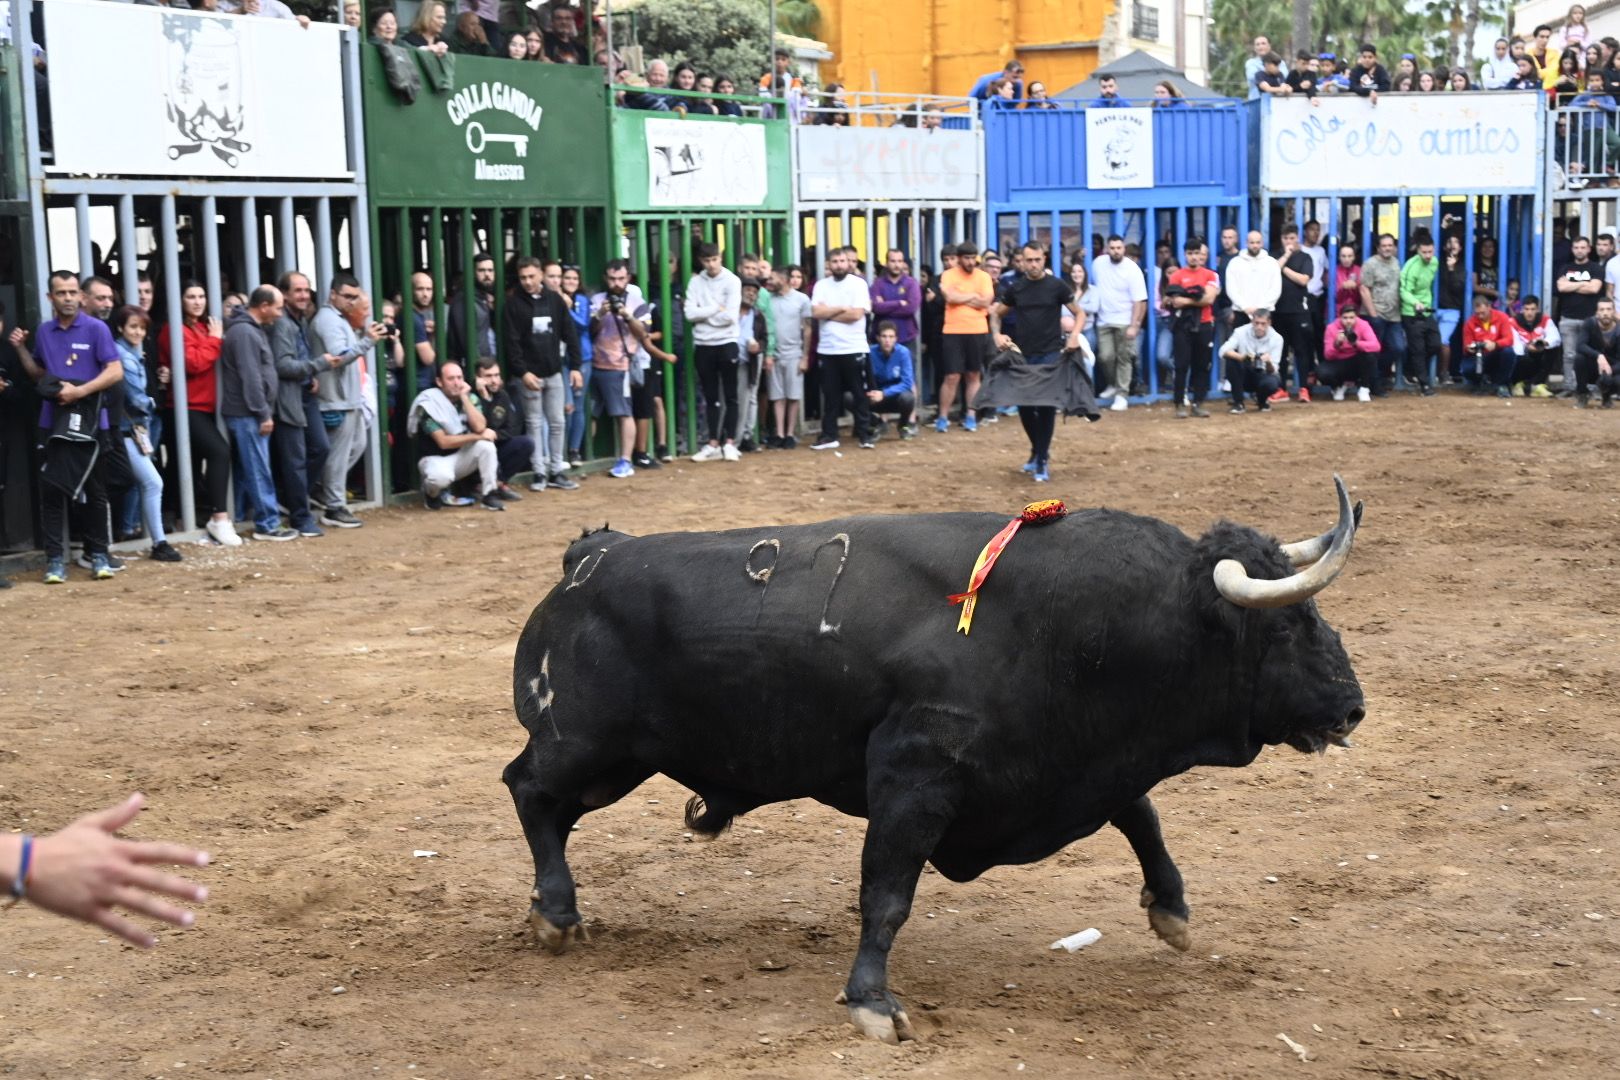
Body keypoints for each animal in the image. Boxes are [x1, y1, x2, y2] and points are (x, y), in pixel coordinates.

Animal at [505, 476, 1367, 1042]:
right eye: (1287, 625)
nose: (1353, 705)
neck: (1084, 623)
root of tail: (590, 557)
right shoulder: (915, 779)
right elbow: (886, 894)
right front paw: (871, 1002)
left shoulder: (1075, 763)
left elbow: (1142, 815)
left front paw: (1173, 912)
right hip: (587, 745)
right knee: (529, 791)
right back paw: (557, 913)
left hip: (619, 760)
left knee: (547, 805)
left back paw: (553, 908)